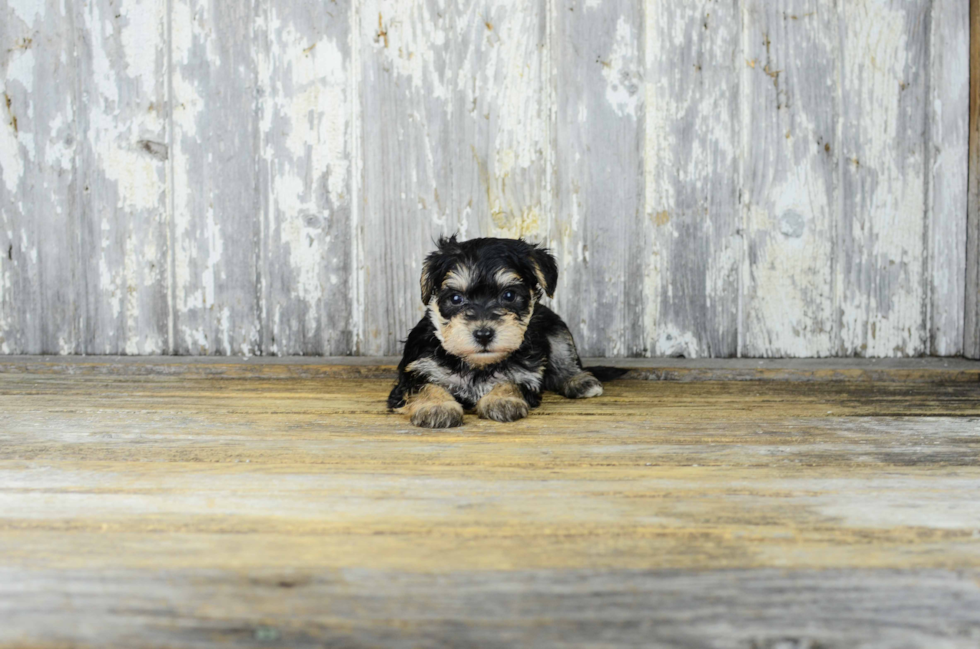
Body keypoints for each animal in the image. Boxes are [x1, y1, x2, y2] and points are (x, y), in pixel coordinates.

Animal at [386, 235, 624, 428]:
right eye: (455, 299)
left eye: (509, 295)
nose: (483, 334)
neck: (478, 365)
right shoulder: (416, 369)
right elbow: (424, 386)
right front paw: (436, 407)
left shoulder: (527, 374)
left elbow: (510, 382)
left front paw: (502, 400)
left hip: (556, 327)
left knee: (563, 358)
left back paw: (579, 381)